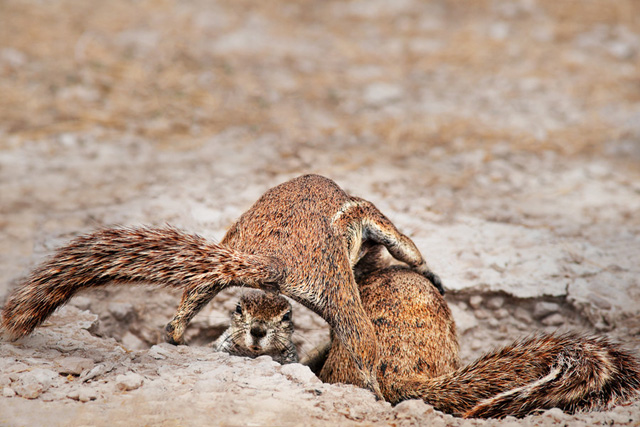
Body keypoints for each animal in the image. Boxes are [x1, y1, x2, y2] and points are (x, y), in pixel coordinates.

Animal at [0, 175, 440, 402]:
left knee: (184, 308)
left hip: (222, 255)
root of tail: (274, 259)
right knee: (360, 339)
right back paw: (375, 397)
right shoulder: (371, 215)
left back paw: (177, 339)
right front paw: (428, 271)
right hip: (333, 284)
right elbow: (403, 243)